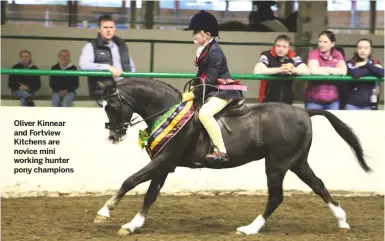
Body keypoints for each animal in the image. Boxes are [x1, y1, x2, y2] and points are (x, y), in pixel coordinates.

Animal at [92, 77, 368, 235]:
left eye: (113, 106)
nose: (113, 136)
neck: (168, 112)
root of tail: (305, 113)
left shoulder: (164, 161)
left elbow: (130, 181)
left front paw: (104, 212)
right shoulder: (164, 165)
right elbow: (150, 194)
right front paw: (133, 225)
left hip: (277, 164)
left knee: (276, 197)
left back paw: (250, 229)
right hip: (297, 162)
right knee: (318, 185)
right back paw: (341, 221)